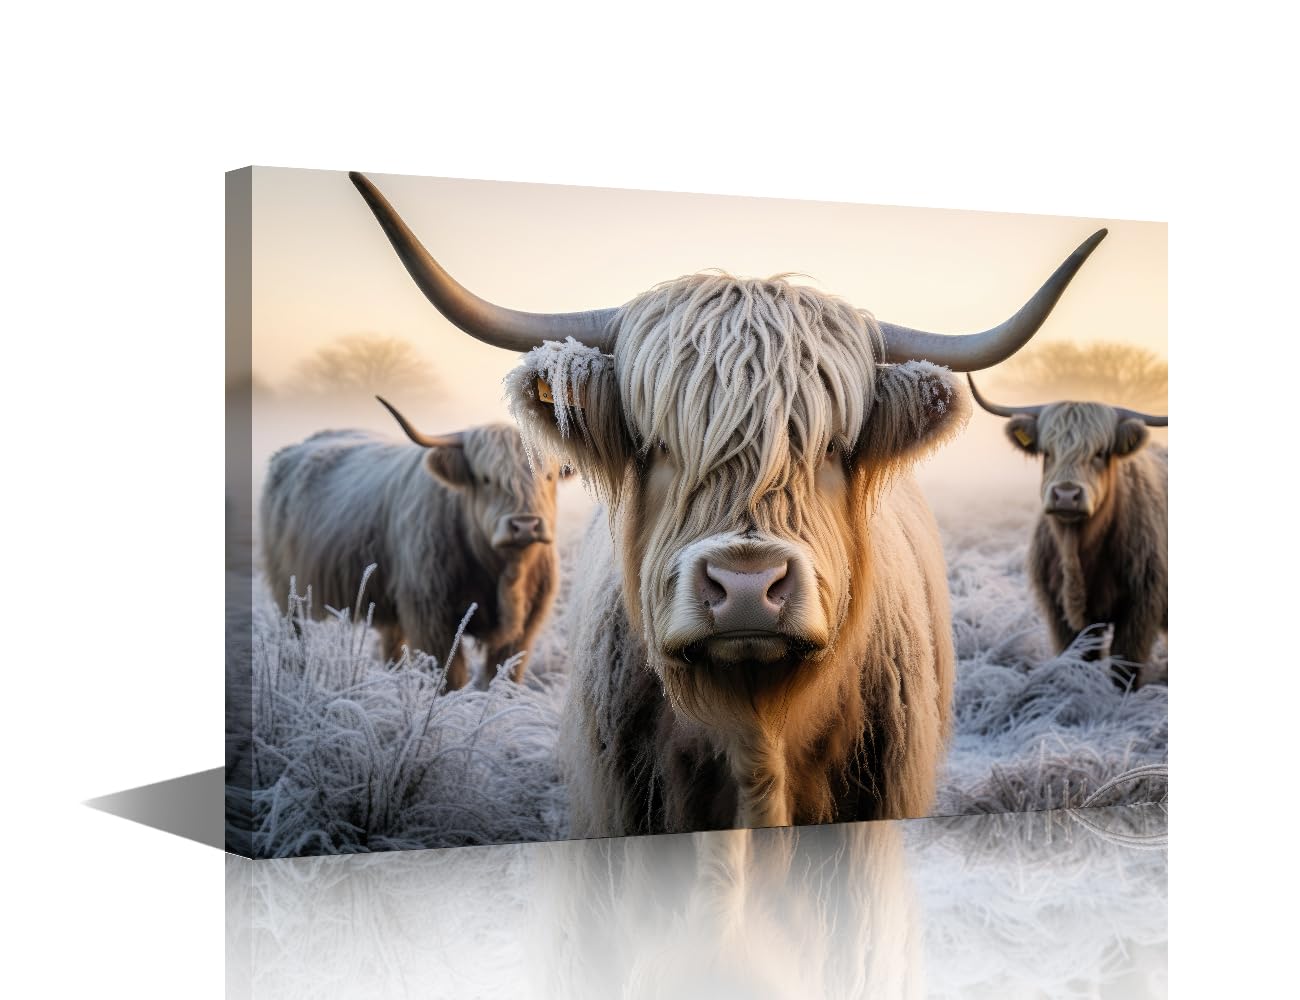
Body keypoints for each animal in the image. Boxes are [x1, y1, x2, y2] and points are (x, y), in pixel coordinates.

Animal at [259, 398, 567, 688]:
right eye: (486, 478)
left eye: (549, 476)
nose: (525, 525)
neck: (506, 572)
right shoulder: (431, 617)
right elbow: (450, 679)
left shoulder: (524, 629)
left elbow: (502, 680)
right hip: (290, 593)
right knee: (295, 638)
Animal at [967, 376, 1167, 687]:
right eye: (1047, 452)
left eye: (1100, 453)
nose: (1065, 495)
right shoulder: (1060, 614)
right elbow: (1077, 660)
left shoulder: (1140, 609)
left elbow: (1123, 669)